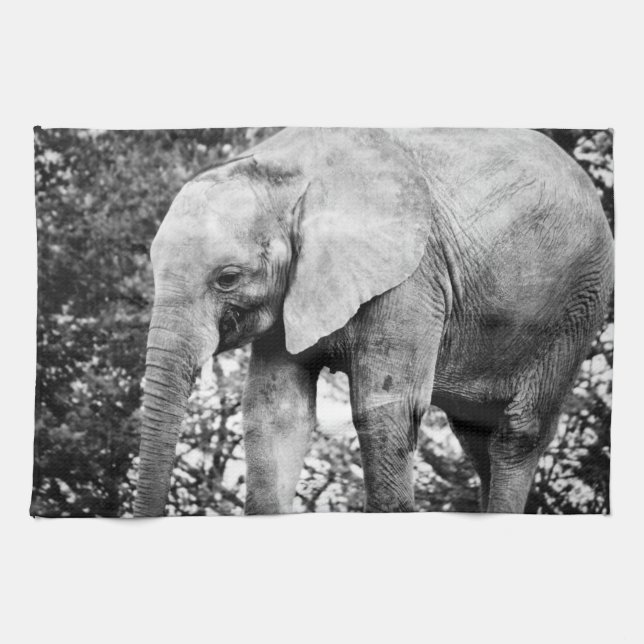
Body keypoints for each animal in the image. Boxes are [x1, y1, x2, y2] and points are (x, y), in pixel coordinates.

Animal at [134, 127, 614, 516]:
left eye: (228, 278)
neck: (287, 172)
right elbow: (274, 413)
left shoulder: (412, 277)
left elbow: (384, 408)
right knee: (476, 436)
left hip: (577, 304)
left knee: (518, 433)